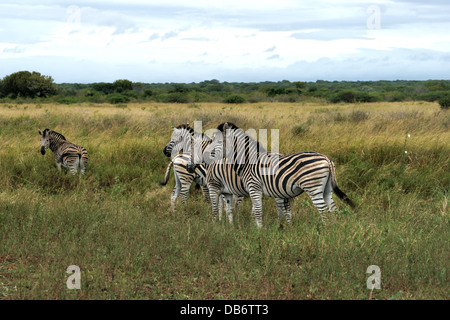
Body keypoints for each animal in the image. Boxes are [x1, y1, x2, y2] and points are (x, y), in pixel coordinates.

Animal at [202, 122, 354, 228]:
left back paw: (324, 229)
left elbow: (257, 210)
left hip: (313, 186)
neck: (248, 161)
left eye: (218, 142)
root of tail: (326, 159)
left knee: (322, 208)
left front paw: (259, 231)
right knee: (333, 208)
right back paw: (333, 229)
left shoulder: (254, 187)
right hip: (326, 188)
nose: (205, 155)